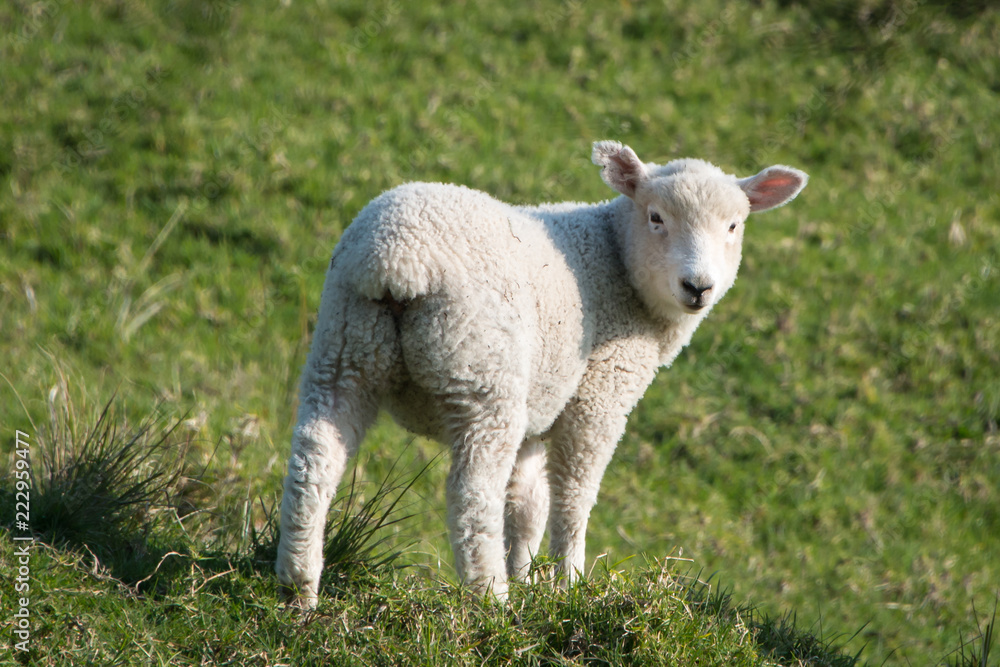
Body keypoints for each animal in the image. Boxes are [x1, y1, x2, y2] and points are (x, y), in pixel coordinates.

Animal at [278, 142, 808, 612]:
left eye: (734, 226)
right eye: (656, 217)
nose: (698, 287)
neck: (616, 261)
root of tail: (395, 259)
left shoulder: (541, 408)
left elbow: (528, 505)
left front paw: (529, 579)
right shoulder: (599, 396)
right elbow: (572, 497)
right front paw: (568, 583)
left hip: (343, 348)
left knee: (313, 463)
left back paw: (298, 590)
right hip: (482, 375)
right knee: (473, 497)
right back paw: (490, 600)